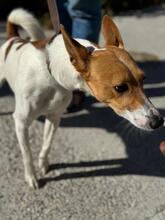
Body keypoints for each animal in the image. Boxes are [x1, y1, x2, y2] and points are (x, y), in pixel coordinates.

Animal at [0, 7, 163, 188]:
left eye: (143, 79)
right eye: (120, 87)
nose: (158, 121)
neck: (51, 75)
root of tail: (13, 38)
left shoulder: (54, 117)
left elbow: (46, 145)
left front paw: (43, 165)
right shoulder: (21, 122)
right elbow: (27, 154)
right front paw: (31, 176)